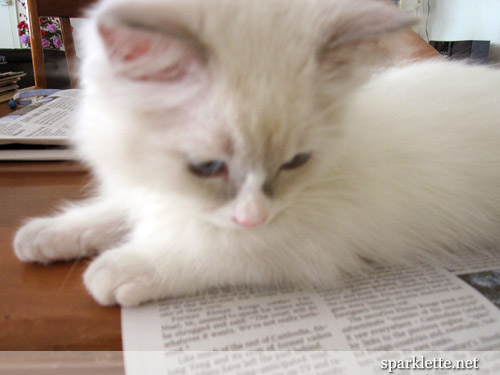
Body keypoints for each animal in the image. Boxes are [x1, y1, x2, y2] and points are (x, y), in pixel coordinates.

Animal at [13, 0, 500, 306]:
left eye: (296, 162)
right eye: (207, 167)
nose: (253, 219)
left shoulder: (307, 241)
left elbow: (208, 248)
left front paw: (125, 267)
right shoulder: (155, 190)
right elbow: (110, 212)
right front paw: (44, 235)